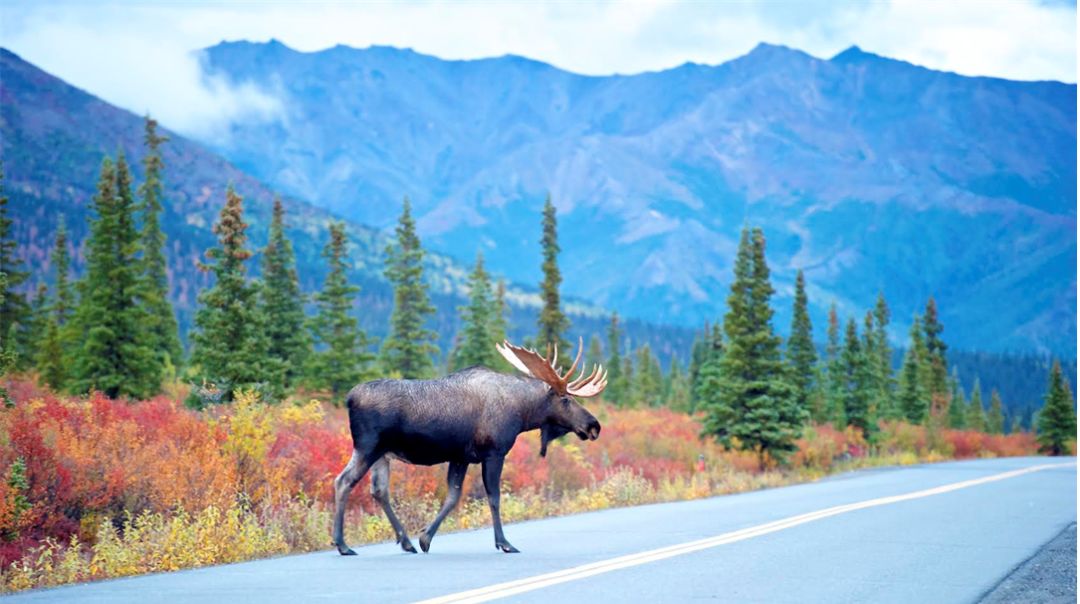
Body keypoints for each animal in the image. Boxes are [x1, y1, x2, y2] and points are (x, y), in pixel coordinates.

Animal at [332, 337, 604, 557]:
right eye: (566, 399)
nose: (594, 426)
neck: (522, 413)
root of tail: (349, 399)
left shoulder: (460, 456)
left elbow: (453, 497)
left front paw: (425, 538)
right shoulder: (494, 453)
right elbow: (494, 496)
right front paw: (504, 543)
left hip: (382, 454)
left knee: (379, 491)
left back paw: (405, 541)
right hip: (368, 447)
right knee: (343, 481)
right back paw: (342, 544)